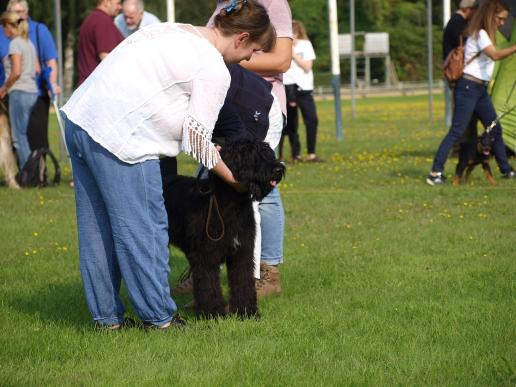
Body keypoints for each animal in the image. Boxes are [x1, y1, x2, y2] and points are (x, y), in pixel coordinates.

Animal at [162, 139, 286, 318]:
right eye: (250, 154)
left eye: (268, 152)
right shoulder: (204, 255)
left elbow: (243, 280)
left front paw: (246, 311)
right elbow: (208, 286)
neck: (231, 202)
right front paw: (213, 313)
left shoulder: (242, 251)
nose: (278, 169)